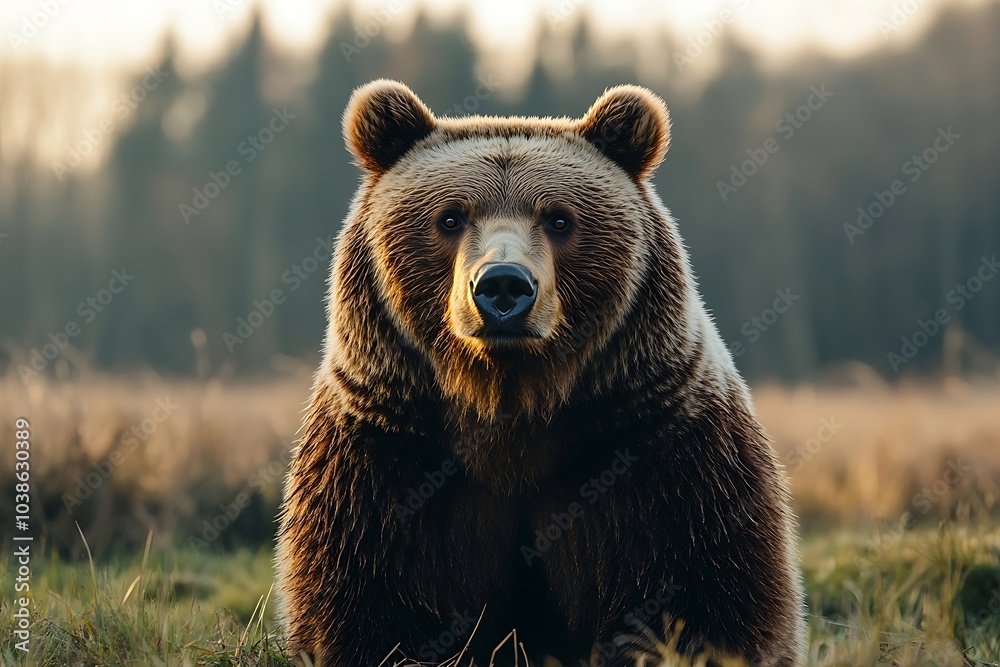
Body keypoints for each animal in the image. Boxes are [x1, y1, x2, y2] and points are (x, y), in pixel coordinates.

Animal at [274, 79, 804, 667]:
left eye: (559, 218)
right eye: (450, 217)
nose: (503, 285)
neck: (511, 401)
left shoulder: (650, 440)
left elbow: (703, 587)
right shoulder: (391, 449)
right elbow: (369, 597)